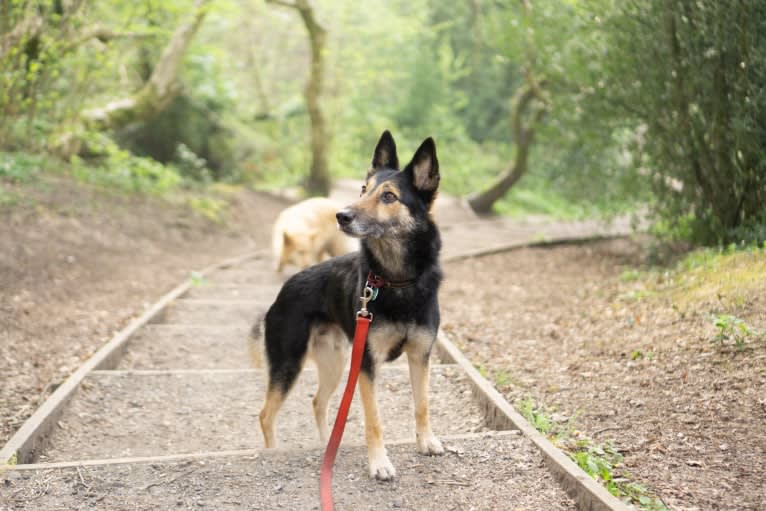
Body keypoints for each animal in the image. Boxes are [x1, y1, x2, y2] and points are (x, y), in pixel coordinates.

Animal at [260, 129, 444, 480]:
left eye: (389, 197)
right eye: (363, 189)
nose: (341, 216)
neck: (396, 281)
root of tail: (285, 287)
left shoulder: (420, 356)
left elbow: (423, 404)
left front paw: (427, 441)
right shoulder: (368, 365)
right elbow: (374, 420)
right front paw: (379, 463)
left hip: (334, 364)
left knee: (317, 402)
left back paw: (326, 445)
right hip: (289, 365)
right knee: (265, 414)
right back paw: (273, 453)